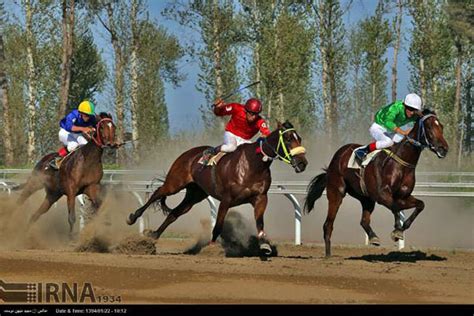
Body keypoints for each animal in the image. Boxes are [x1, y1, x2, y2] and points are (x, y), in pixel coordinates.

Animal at [126, 119, 310, 256]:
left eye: (299, 138)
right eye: (288, 139)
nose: (303, 163)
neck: (254, 164)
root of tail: (188, 153)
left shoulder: (260, 198)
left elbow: (260, 223)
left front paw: (264, 245)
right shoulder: (226, 199)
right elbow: (218, 225)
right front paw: (212, 247)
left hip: (195, 194)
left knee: (174, 213)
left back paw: (153, 236)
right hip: (175, 183)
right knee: (157, 193)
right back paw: (133, 217)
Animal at [304, 108, 448, 256]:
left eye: (441, 127)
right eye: (429, 127)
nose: (443, 149)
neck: (401, 163)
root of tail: (337, 156)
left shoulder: (402, 196)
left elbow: (420, 205)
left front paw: (400, 230)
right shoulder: (382, 195)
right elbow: (395, 207)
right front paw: (397, 230)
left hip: (366, 198)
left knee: (363, 221)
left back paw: (373, 237)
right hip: (336, 192)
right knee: (328, 224)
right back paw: (328, 254)